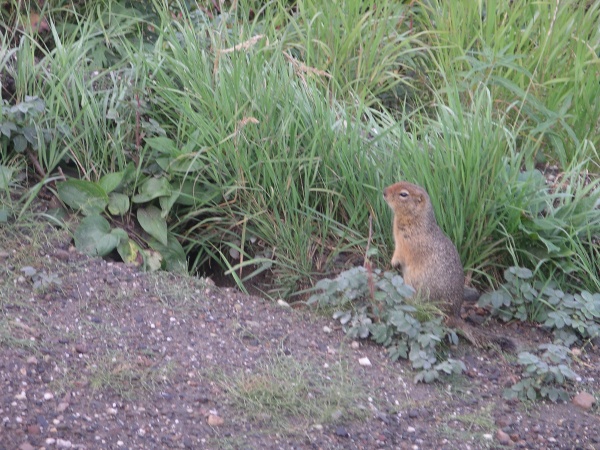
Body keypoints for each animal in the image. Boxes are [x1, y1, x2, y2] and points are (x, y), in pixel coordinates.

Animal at [384, 181, 516, 350]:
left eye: (403, 194)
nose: (384, 192)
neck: (416, 219)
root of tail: (455, 317)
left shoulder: (406, 244)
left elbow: (400, 254)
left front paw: (393, 262)